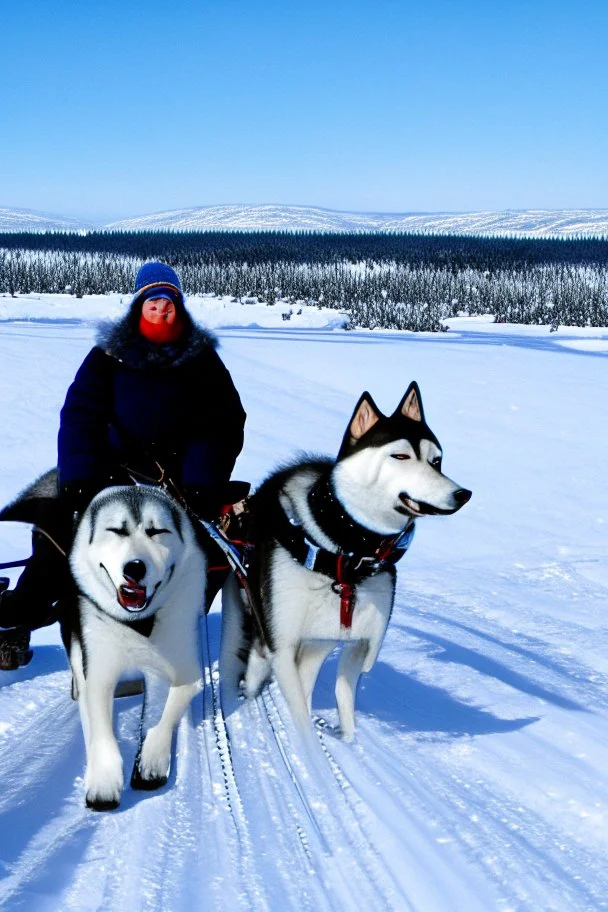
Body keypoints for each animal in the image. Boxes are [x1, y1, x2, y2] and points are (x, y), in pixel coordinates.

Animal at [65, 488, 205, 808]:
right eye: (116, 530)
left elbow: (165, 712)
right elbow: (101, 728)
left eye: (157, 531)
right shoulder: (99, 671)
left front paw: (152, 760)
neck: (139, 624)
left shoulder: (184, 671)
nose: (135, 567)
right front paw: (103, 781)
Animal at [221, 382, 472, 744]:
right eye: (400, 456)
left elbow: (343, 696)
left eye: (436, 461)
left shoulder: (358, 643)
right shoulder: (281, 642)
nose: (462, 494)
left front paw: (342, 737)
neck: (348, 554)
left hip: (316, 642)